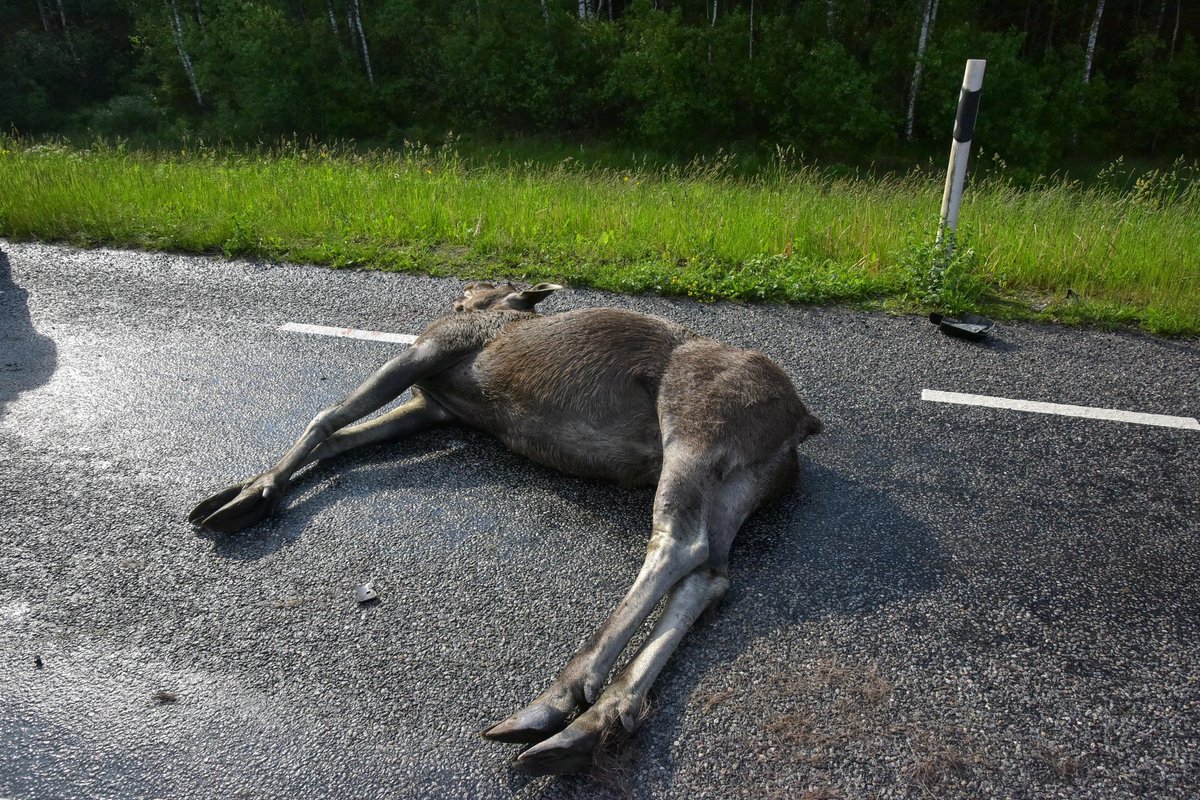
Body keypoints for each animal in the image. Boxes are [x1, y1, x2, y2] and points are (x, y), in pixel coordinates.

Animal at [189, 283, 825, 777]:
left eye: (479, 291)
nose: (467, 292)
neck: (503, 309)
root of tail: (802, 421)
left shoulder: (430, 349)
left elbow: (327, 418)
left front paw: (247, 496)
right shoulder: (436, 407)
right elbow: (342, 438)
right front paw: (250, 490)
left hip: (694, 432)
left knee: (676, 545)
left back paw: (558, 698)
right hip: (739, 483)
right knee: (711, 576)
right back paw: (593, 724)